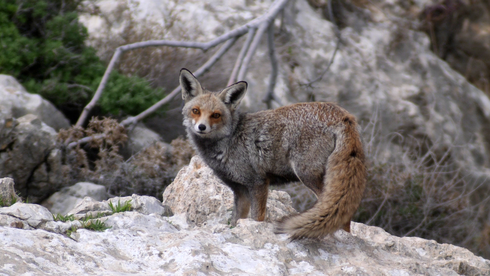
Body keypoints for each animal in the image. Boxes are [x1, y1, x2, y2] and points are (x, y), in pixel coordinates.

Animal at [178, 68, 366, 239]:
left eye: (216, 115)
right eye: (196, 111)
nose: (201, 127)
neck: (228, 141)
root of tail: (343, 115)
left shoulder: (258, 183)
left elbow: (257, 218)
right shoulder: (240, 190)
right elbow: (236, 220)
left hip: (307, 175)